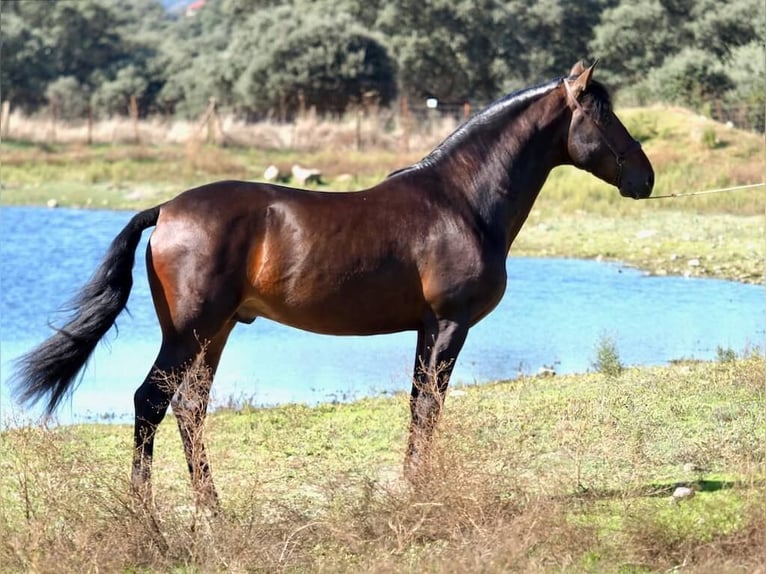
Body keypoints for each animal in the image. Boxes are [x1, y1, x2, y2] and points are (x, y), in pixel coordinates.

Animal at [13, 62, 656, 508]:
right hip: (190, 332)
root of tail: (167, 210)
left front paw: (411, 482)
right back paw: (148, 517)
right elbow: (430, 405)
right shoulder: (449, 325)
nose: (645, 178)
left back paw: (213, 510)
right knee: (150, 403)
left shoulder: (427, 328)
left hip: (213, 334)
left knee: (188, 409)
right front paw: (421, 486)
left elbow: (419, 403)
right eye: (602, 117)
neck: (461, 201)